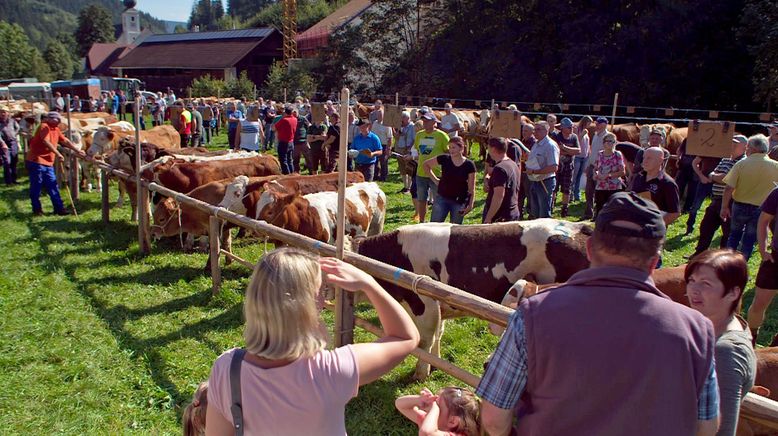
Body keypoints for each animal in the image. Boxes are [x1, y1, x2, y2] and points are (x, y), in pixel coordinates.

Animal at [350, 220, 588, 380]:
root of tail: (580, 227)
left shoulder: (424, 303)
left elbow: (425, 340)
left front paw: (421, 372)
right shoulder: (438, 304)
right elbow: (438, 334)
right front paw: (435, 365)